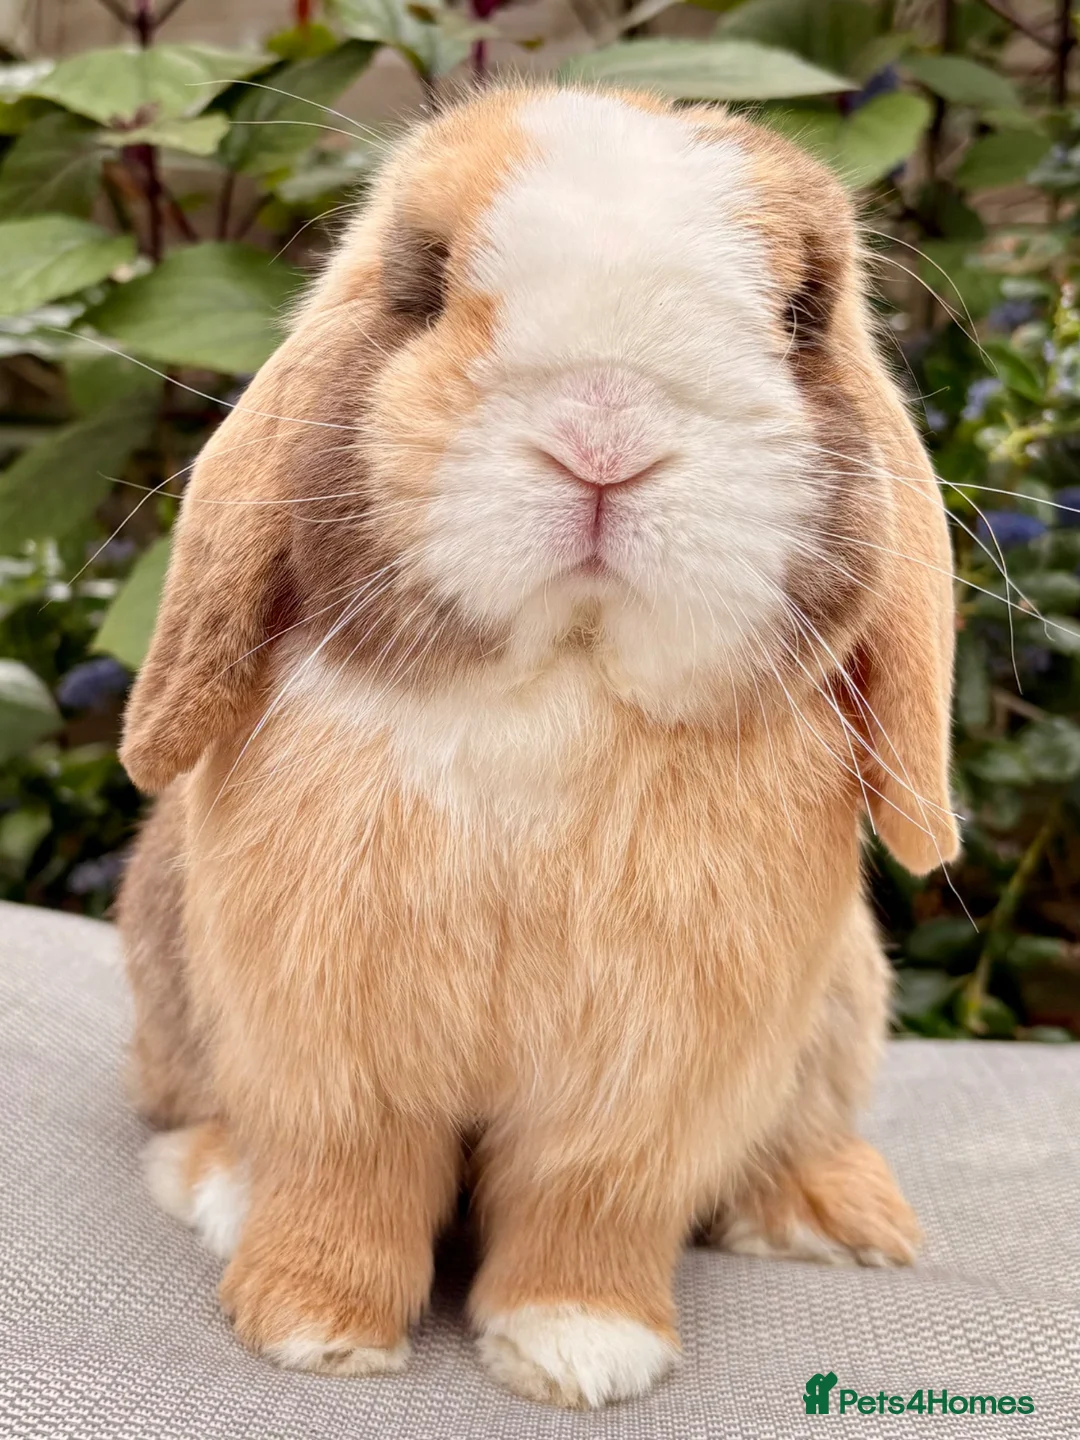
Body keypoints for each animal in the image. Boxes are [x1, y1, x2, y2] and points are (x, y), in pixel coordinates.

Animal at [115, 83, 959, 1409]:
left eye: (799, 315)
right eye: (423, 285)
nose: (604, 432)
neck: (560, 683)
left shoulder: (645, 1091)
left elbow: (587, 1211)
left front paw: (581, 1353)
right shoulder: (329, 1049)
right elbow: (343, 1179)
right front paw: (312, 1331)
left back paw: (837, 1215)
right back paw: (218, 1188)